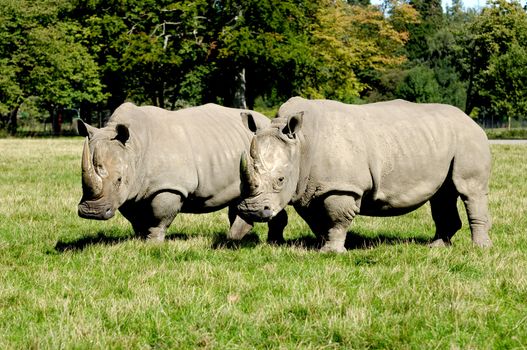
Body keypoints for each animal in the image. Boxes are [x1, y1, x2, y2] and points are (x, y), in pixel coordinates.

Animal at [76, 102, 286, 242]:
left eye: (119, 179)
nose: (91, 213)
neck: (134, 146)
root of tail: (267, 120)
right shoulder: (132, 189)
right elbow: (136, 219)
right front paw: (139, 241)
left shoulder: (169, 186)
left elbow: (159, 218)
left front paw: (153, 244)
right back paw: (238, 239)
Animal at [237, 96, 492, 252]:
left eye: (280, 180)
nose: (251, 211)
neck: (301, 143)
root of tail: (472, 120)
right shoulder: (307, 186)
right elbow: (316, 219)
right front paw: (321, 245)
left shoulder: (341, 186)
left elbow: (337, 217)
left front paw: (331, 251)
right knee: (442, 195)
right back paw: (437, 247)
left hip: (468, 137)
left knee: (469, 191)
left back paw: (479, 248)